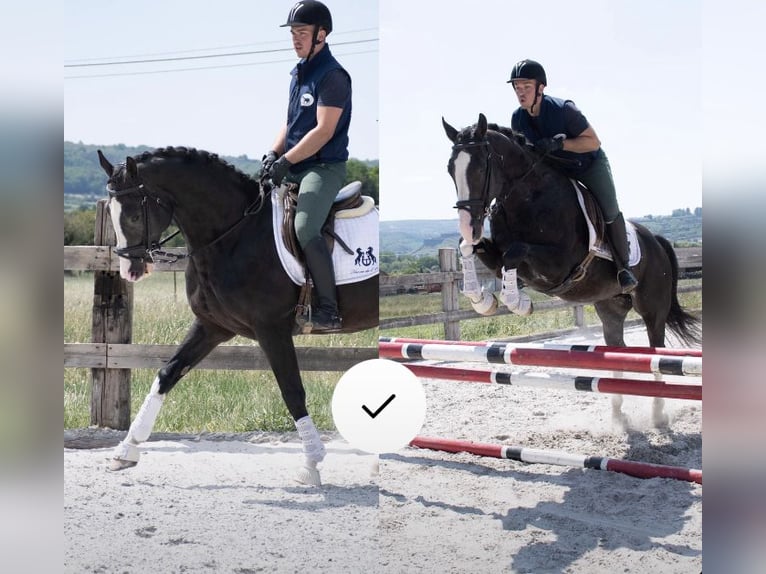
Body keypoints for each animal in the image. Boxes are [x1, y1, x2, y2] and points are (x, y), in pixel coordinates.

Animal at [97, 145, 380, 486]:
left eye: (135, 215)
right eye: (111, 215)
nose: (130, 271)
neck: (235, 234)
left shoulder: (271, 329)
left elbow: (292, 391)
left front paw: (311, 463)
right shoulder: (213, 326)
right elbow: (167, 374)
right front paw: (125, 451)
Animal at [444, 113, 704, 428]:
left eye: (481, 167)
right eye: (450, 169)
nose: (468, 225)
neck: (527, 197)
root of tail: (656, 241)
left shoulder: (560, 264)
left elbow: (515, 252)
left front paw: (519, 303)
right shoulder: (497, 256)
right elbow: (469, 248)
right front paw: (482, 300)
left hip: (653, 309)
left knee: (658, 352)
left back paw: (657, 413)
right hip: (611, 308)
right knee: (618, 348)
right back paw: (618, 414)